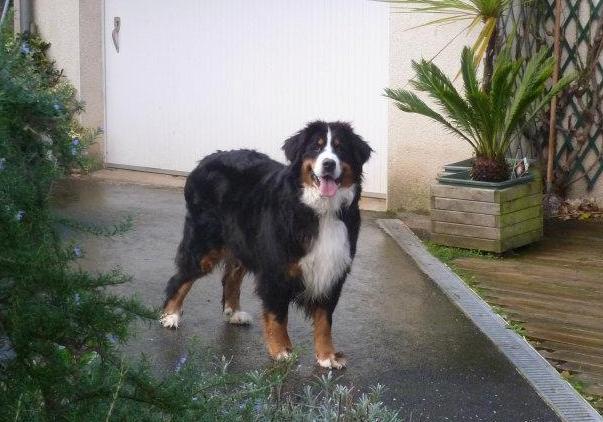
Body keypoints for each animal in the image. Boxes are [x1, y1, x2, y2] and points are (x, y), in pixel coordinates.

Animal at [160, 121, 372, 369]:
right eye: (315, 147)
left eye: (340, 148)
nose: (329, 163)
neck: (321, 211)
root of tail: (205, 160)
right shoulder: (276, 271)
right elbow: (278, 316)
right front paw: (281, 351)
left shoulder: (332, 271)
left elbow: (324, 320)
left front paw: (327, 355)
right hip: (205, 244)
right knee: (180, 278)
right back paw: (170, 315)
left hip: (243, 242)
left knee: (231, 277)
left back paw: (234, 314)